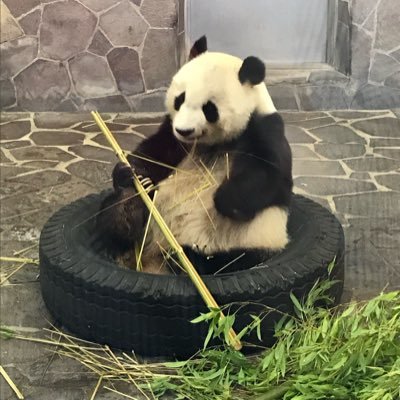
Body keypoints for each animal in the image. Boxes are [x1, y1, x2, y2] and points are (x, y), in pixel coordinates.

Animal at [98, 36, 292, 276]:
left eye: (209, 108)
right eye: (179, 99)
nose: (184, 130)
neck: (210, 144)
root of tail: (152, 261)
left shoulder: (264, 129)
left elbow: (270, 177)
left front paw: (225, 200)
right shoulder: (173, 136)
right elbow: (155, 152)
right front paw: (130, 172)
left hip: (252, 241)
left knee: (226, 261)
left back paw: (183, 259)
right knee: (111, 215)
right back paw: (127, 209)